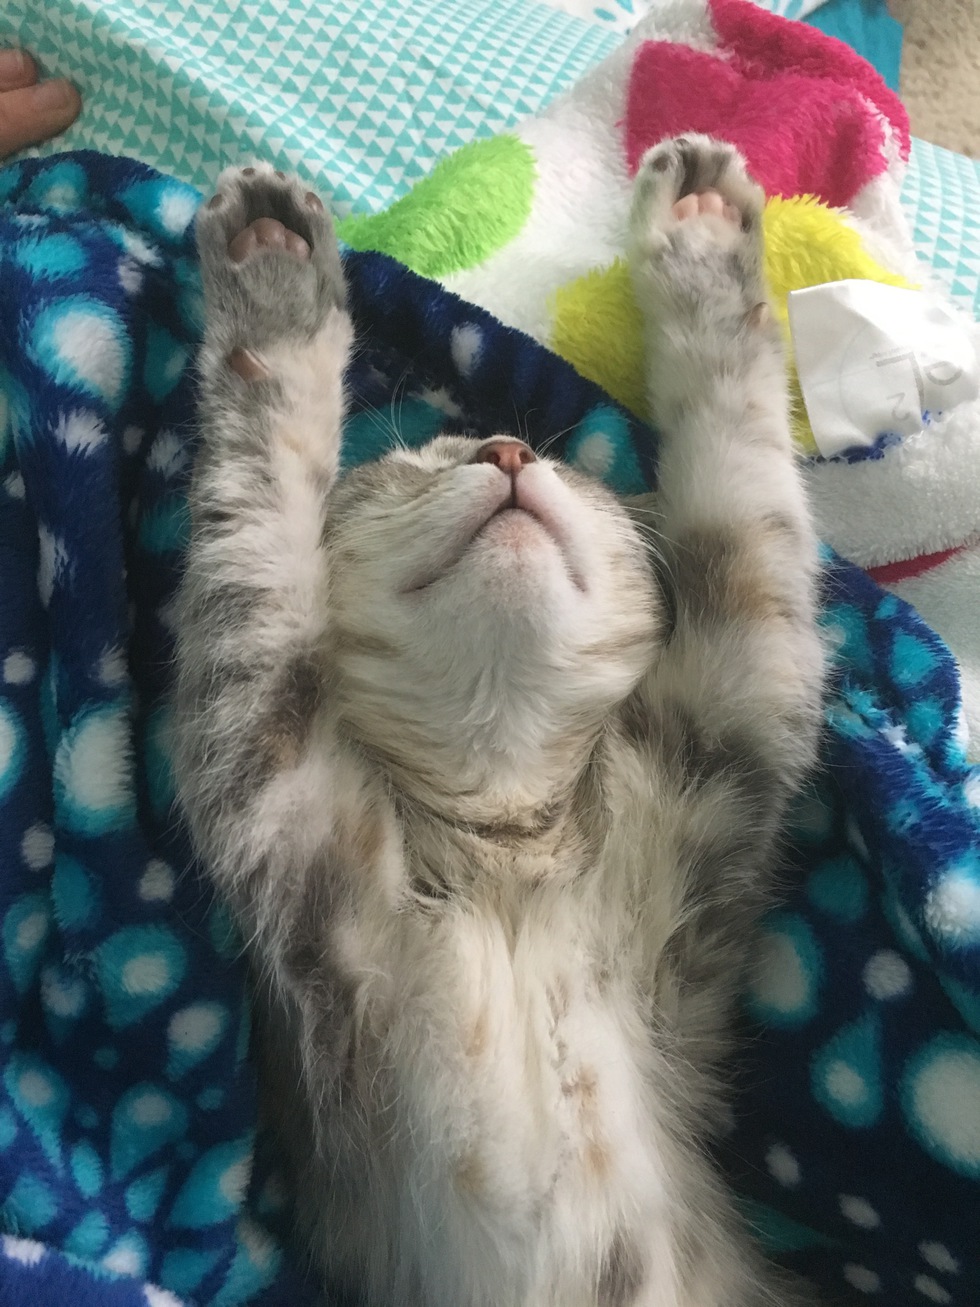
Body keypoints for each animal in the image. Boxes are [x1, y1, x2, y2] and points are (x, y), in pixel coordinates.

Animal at [173, 135, 825, 1307]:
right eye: (415, 462)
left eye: (563, 464)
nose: (510, 457)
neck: (505, 851)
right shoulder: (271, 777)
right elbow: (256, 513)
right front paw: (276, 289)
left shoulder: (736, 713)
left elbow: (746, 494)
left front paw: (701, 252)